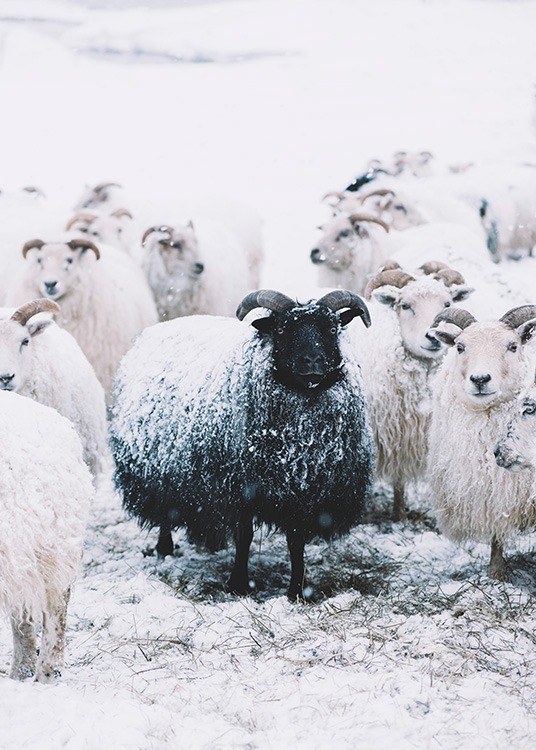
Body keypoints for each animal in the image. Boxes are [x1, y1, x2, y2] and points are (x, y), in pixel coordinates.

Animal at [109, 289, 374, 601]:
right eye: (281, 329)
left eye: (332, 329)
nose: (312, 361)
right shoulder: (239, 488)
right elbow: (244, 536)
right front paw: (238, 584)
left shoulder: (303, 493)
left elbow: (295, 541)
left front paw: (297, 591)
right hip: (158, 470)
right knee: (165, 511)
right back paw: (164, 549)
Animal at [348, 261, 474, 520]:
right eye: (405, 306)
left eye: (447, 304)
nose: (433, 337)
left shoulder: (404, 434)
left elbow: (399, 481)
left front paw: (400, 515)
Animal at [426, 304, 536, 580]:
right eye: (460, 347)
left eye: (513, 346)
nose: (480, 379)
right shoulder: (492, 491)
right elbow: (497, 534)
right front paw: (495, 574)